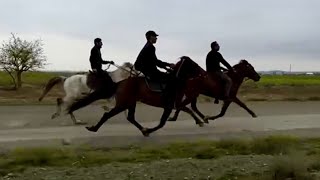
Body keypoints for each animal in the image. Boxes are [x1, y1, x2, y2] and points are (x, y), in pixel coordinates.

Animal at [66, 56, 212, 136]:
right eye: (193, 64)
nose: (203, 72)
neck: (174, 81)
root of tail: (119, 83)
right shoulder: (169, 105)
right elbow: (162, 122)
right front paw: (150, 130)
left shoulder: (175, 104)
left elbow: (187, 109)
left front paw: (201, 121)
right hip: (123, 103)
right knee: (108, 115)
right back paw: (93, 128)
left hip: (130, 103)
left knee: (130, 117)